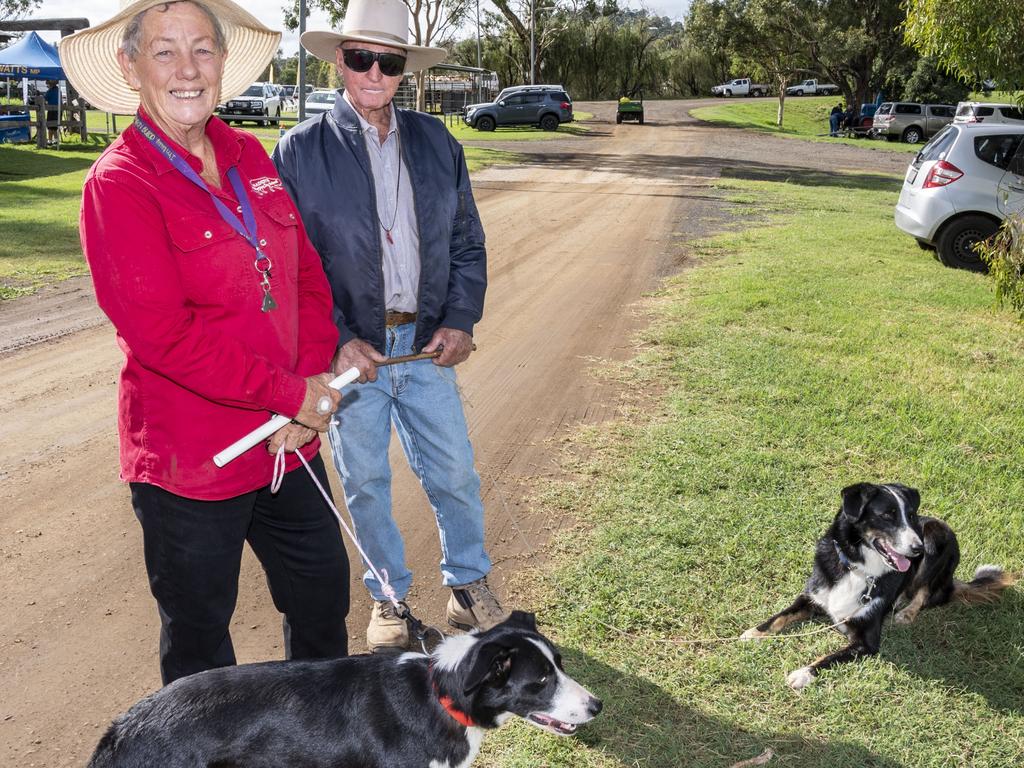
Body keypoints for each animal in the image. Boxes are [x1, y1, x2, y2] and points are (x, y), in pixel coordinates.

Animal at [741, 483, 1011, 696]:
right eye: (887, 515)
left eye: (910, 516)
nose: (917, 550)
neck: (859, 568)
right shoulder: (812, 598)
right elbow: (778, 617)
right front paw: (752, 634)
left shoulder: (866, 642)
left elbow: (829, 658)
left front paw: (802, 673)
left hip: (936, 535)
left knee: (927, 593)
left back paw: (906, 612)